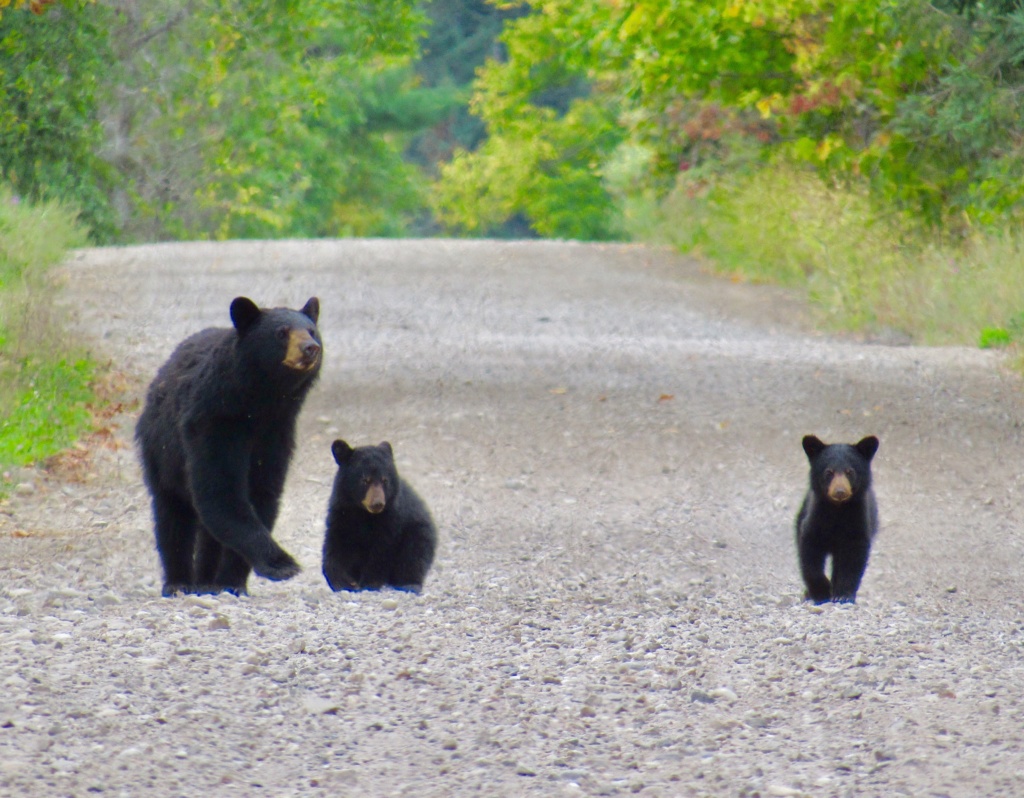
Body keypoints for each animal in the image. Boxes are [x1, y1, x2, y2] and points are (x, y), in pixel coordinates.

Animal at [135, 297, 319, 594]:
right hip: (160, 451)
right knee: (172, 515)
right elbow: (220, 491)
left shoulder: (277, 433)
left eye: (312, 331)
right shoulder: (213, 422)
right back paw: (179, 582)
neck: (261, 402)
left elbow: (261, 492)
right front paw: (283, 564)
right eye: (281, 332)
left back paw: (207, 580)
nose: (310, 348)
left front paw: (233, 581)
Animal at [323, 440, 436, 594]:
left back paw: (409, 584)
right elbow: (335, 544)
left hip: (418, 531)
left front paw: (370, 582)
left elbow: (382, 549)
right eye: (365, 480)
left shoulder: (392, 518)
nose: (377, 503)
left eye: (384, 480)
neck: (363, 513)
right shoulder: (341, 514)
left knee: (415, 554)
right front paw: (342, 582)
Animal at [790, 436, 880, 606]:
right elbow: (809, 553)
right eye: (829, 472)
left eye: (849, 471)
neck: (837, 511)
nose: (840, 491)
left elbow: (853, 558)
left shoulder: (858, 522)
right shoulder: (815, 519)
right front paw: (821, 592)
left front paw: (843, 595)